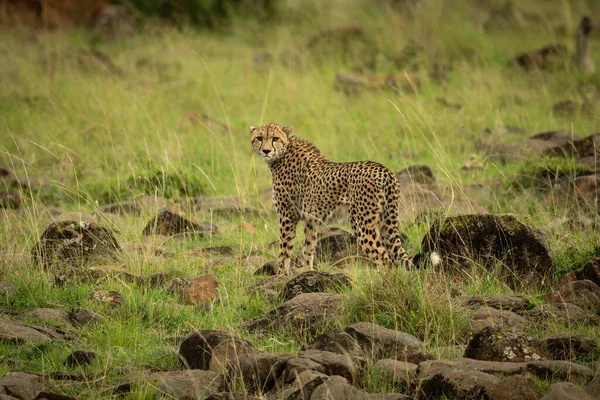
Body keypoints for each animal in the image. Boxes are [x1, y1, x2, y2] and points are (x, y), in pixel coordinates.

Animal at [251, 122, 438, 276]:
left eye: (275, 138)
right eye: (259, 138)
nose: (266, 151)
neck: (283, 153)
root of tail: (384, 170)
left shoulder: (287, 216)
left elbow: (285, 249)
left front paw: (281, 275)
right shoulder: (312, 219)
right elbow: (309, 248)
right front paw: (307, 271)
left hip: (362, 224)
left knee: (385, 260)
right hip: (386, 221)